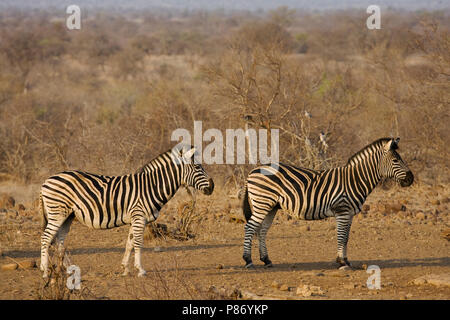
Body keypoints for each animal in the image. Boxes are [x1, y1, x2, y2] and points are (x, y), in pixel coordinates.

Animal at [39, 145, 214, 278]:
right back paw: (45, 271)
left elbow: (129, 243)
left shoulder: (135, 219)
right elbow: (138, 243)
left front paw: (125, 268)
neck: (151, 187)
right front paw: (141, 270)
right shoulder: (139, 217)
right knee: (46, 238)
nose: (212, 187)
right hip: (57, 213)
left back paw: (65, 270)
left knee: (60, 240)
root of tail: (46, 180)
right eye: (197, 167)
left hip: (67, 216)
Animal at [241, 137, 414, 268]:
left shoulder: (349, 213)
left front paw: (345, 260)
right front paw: (342, 261)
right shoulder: (342, 210)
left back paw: (266, 260)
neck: (355, 180)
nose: (411, 179)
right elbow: (341, 236)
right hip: (262, 204)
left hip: (271, 207)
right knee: (250, 227)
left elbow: (346, 237)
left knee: (262, 230)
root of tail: (253, 171)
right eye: (395, 160)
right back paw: (248, 260)